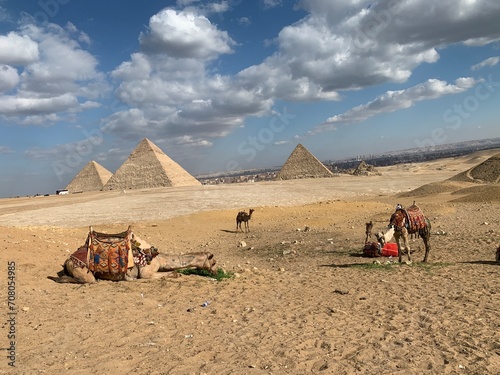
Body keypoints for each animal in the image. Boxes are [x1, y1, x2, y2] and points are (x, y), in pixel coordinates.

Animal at [48, 226, 217, 284]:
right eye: (214, 262)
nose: (217, 272)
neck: (158, 257)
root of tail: (68, 260)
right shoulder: (146, 273)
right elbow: (172, 273)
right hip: (82, 270)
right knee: (85, 280)